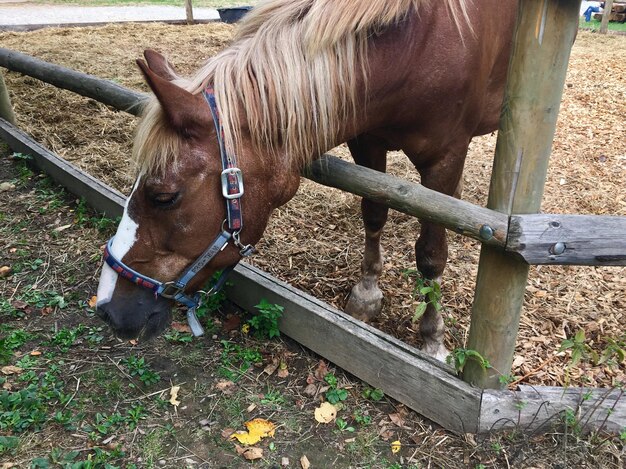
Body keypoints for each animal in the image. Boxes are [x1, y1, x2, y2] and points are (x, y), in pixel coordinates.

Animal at [96, 0, 516, 358]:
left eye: (163, 196)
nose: (106, 308)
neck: (417, 45)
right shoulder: (367, 141)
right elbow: (374, 212)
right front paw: (366, 294)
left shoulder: (444, 160)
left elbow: (431, 255)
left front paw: (433, 336)